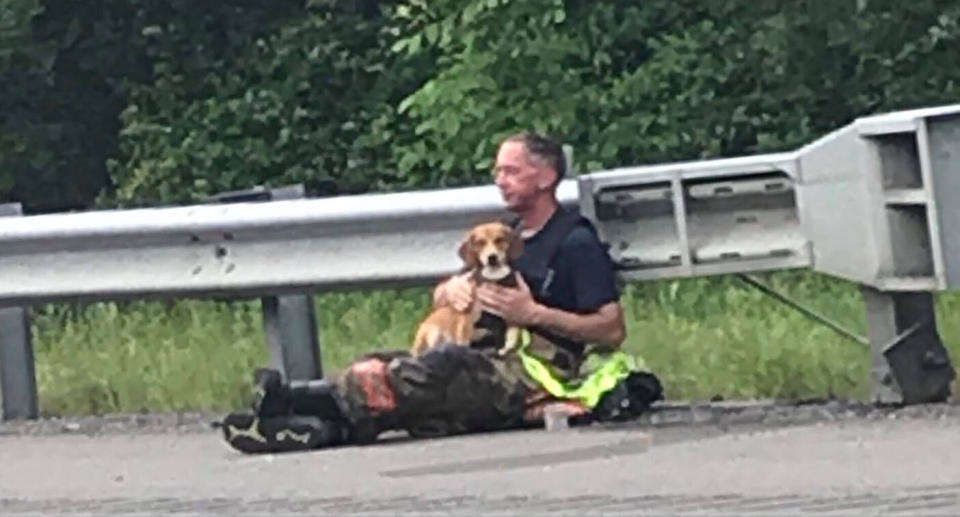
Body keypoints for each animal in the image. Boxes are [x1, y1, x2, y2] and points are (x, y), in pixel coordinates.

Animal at [408, 220, 520, 356]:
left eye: (499, 239)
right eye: (480, 242)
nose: (492, 258)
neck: (493, 276)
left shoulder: (509, 313)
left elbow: (513, 333)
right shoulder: (465, 317)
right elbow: (464, 339)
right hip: (432, 332)